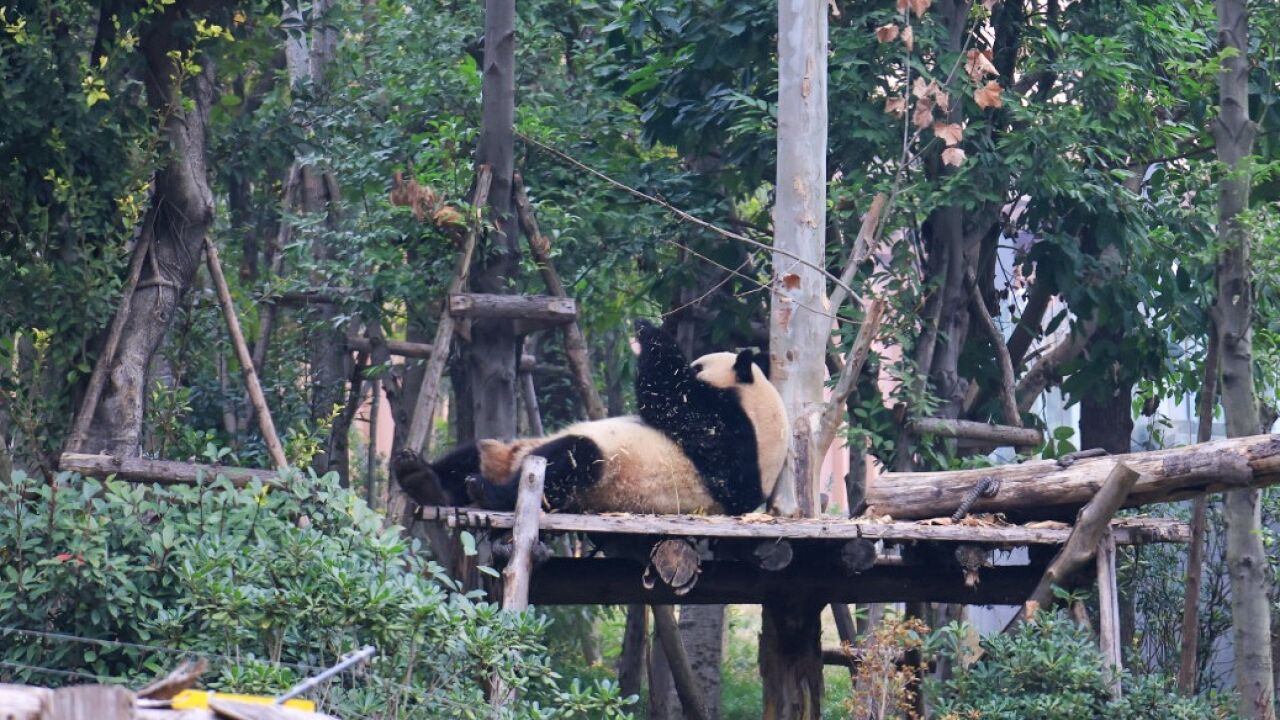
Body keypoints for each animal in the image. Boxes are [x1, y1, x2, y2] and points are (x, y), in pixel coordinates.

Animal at [391, 316, 788, 512]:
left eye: (697, 365)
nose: (694, 364)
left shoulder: (731, 438)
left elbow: (674, 403)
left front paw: (647, 330)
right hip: (508, 447)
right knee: (471, 452)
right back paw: (422, 478)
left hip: (603, 470)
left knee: (571, 461)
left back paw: (487, 493)